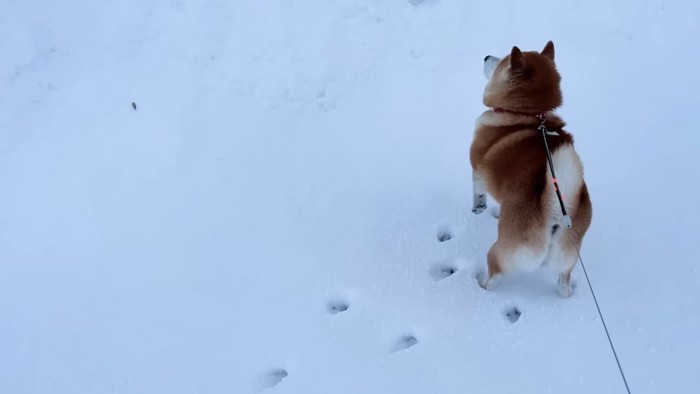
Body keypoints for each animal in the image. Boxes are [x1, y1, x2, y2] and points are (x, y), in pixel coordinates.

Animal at [470, 40, 592, 298]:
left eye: (502, 60)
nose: (485, 56)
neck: (528, 114)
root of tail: (554, 212)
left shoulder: (476, 170)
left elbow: (477, 192)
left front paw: (478, 208)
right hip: (570, 256)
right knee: (563, 282)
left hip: (501, 250)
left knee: (494, 272)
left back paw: (481, 286)